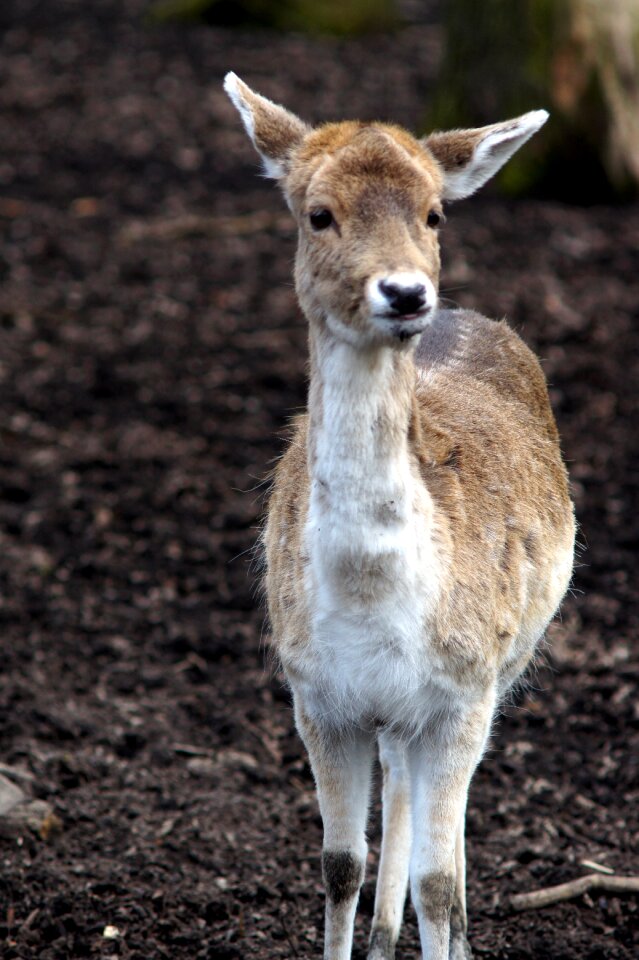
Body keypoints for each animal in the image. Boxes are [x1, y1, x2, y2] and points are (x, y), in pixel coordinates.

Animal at [224, 69, 576, 960]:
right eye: (318, 213)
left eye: (433, 213)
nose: (407, 293)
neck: (373, 594)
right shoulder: (316, 695)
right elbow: (338, 864)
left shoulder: (462, 690)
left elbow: (438, 880)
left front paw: (446, 931)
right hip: (393, 715)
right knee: (397, 795)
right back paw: (382, 937)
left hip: (507, 666)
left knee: (440, 840)